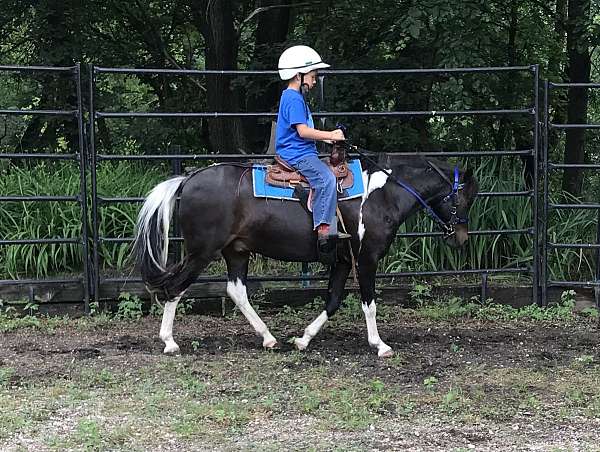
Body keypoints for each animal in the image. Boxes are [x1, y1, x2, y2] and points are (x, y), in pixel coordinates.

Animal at [135, 154, 478, 358]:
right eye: (463, 198)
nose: (461, 238)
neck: (381, 195)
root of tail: (187, 180)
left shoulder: (342, 261)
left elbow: (333, 301)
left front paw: (303, 339)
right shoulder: (366, 258)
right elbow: (368, 303)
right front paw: (380, 345)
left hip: (237, 251)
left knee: (236, 291)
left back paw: (268, 337)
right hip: (201, 251)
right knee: (175, 287)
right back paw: (169, 342)